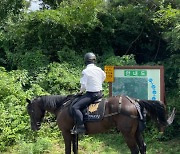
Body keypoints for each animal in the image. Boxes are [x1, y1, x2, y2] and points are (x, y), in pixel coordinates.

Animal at [26, 94, 174, 153]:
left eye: (30, 110)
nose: (34, 127)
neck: (62, 106)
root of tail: (134, 101)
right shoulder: (74, 134)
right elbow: (75, 149)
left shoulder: (66, 132)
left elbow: (68, 150)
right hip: (137, 132)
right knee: (143, 147)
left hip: (127, 134)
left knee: (135, 150)